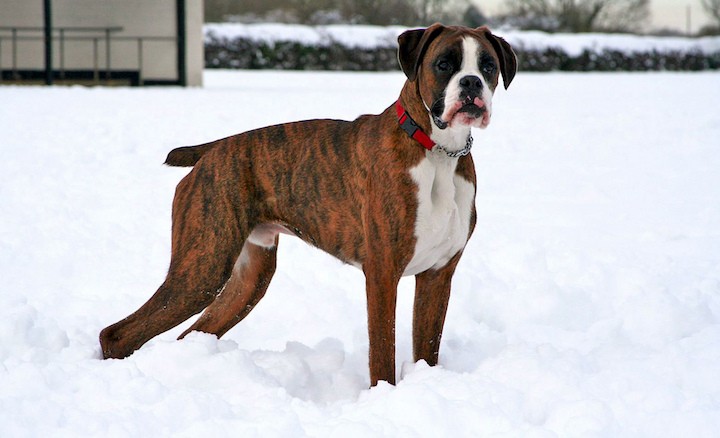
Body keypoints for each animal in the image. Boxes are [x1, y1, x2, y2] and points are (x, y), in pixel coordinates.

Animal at [102, 24, 516, 386]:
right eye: (444, 64)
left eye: (488, 67)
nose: (471, 83)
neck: (438, 151)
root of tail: (210, 152)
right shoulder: (383, 273)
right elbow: (382, 352)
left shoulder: (437, 275)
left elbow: (427, 348)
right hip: (203, 268)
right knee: (119, 333)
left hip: (248, 281)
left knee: (191, 333)